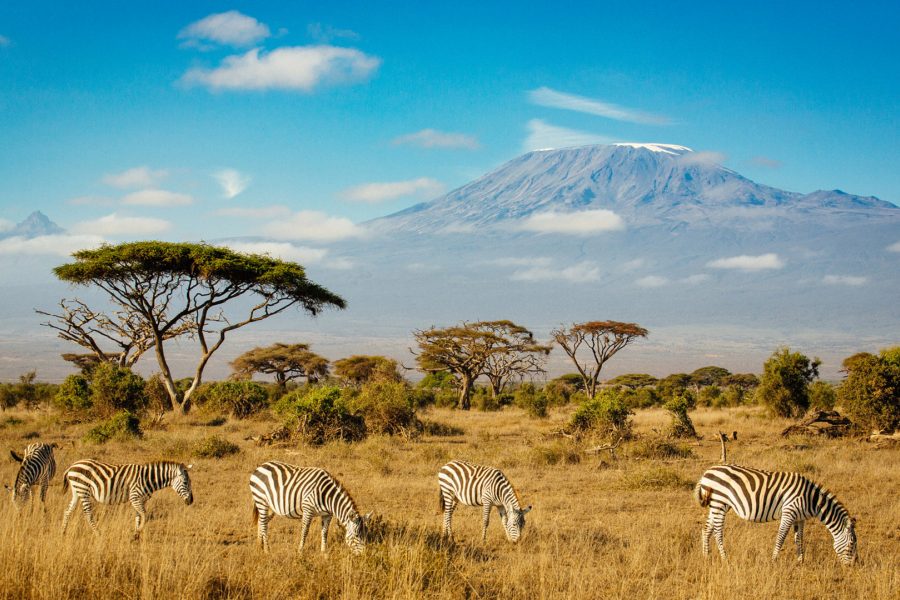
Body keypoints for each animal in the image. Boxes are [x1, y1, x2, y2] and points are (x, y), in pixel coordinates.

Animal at [61, 459, 194, 536]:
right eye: (186, 482)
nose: (191, 501)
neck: (148, 478)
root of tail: (72, 466)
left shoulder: (140, 499)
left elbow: (138, 516)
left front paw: (136, 534)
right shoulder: (135, 497)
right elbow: (144, 515)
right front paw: (138, 532)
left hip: (77, 491)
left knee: (67, 511)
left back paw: (63, 532)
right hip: (83, 490)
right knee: (88, 514)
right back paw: (98, 533)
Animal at [694, 464, 858, 565]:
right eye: (851, 544)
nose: (854, 565)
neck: (811, 499)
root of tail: (707, 472)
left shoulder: (800, 518)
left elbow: (799, 539)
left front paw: (801, 561)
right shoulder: (789, 513)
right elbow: (781, 537)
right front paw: (774, 561)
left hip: (717, 504)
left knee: (706, 529)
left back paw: (706, 556)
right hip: (719, 502)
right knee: (718, 532)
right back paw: (725, 559)